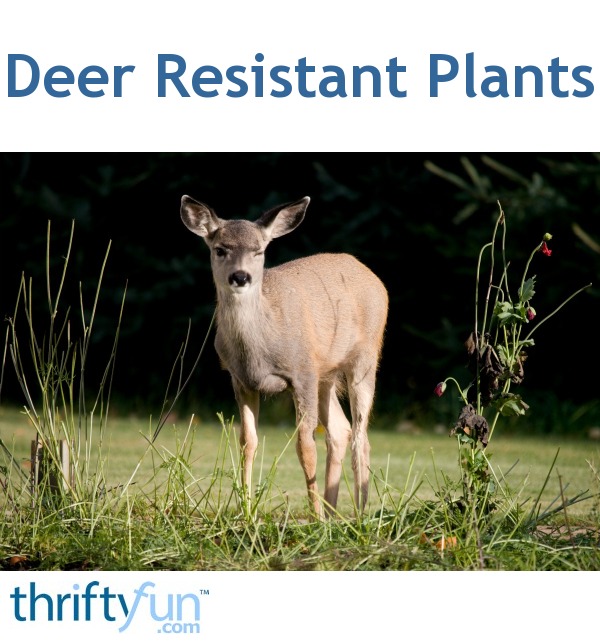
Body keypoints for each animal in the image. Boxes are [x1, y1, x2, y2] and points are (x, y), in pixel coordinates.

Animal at [180, 195, 388, 519]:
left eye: (259, 250)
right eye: (220, 249)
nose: (240, 277)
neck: (259, 348)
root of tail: (372, 276)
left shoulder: (301, 372)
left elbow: (305, 446)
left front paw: (315, 517)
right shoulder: (241, 381)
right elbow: (247, 441)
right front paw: (247, 510)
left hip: (365, 357)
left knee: (360, 436)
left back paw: (358, 514)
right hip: (325, 374)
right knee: (340, 430)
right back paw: (333, 512)